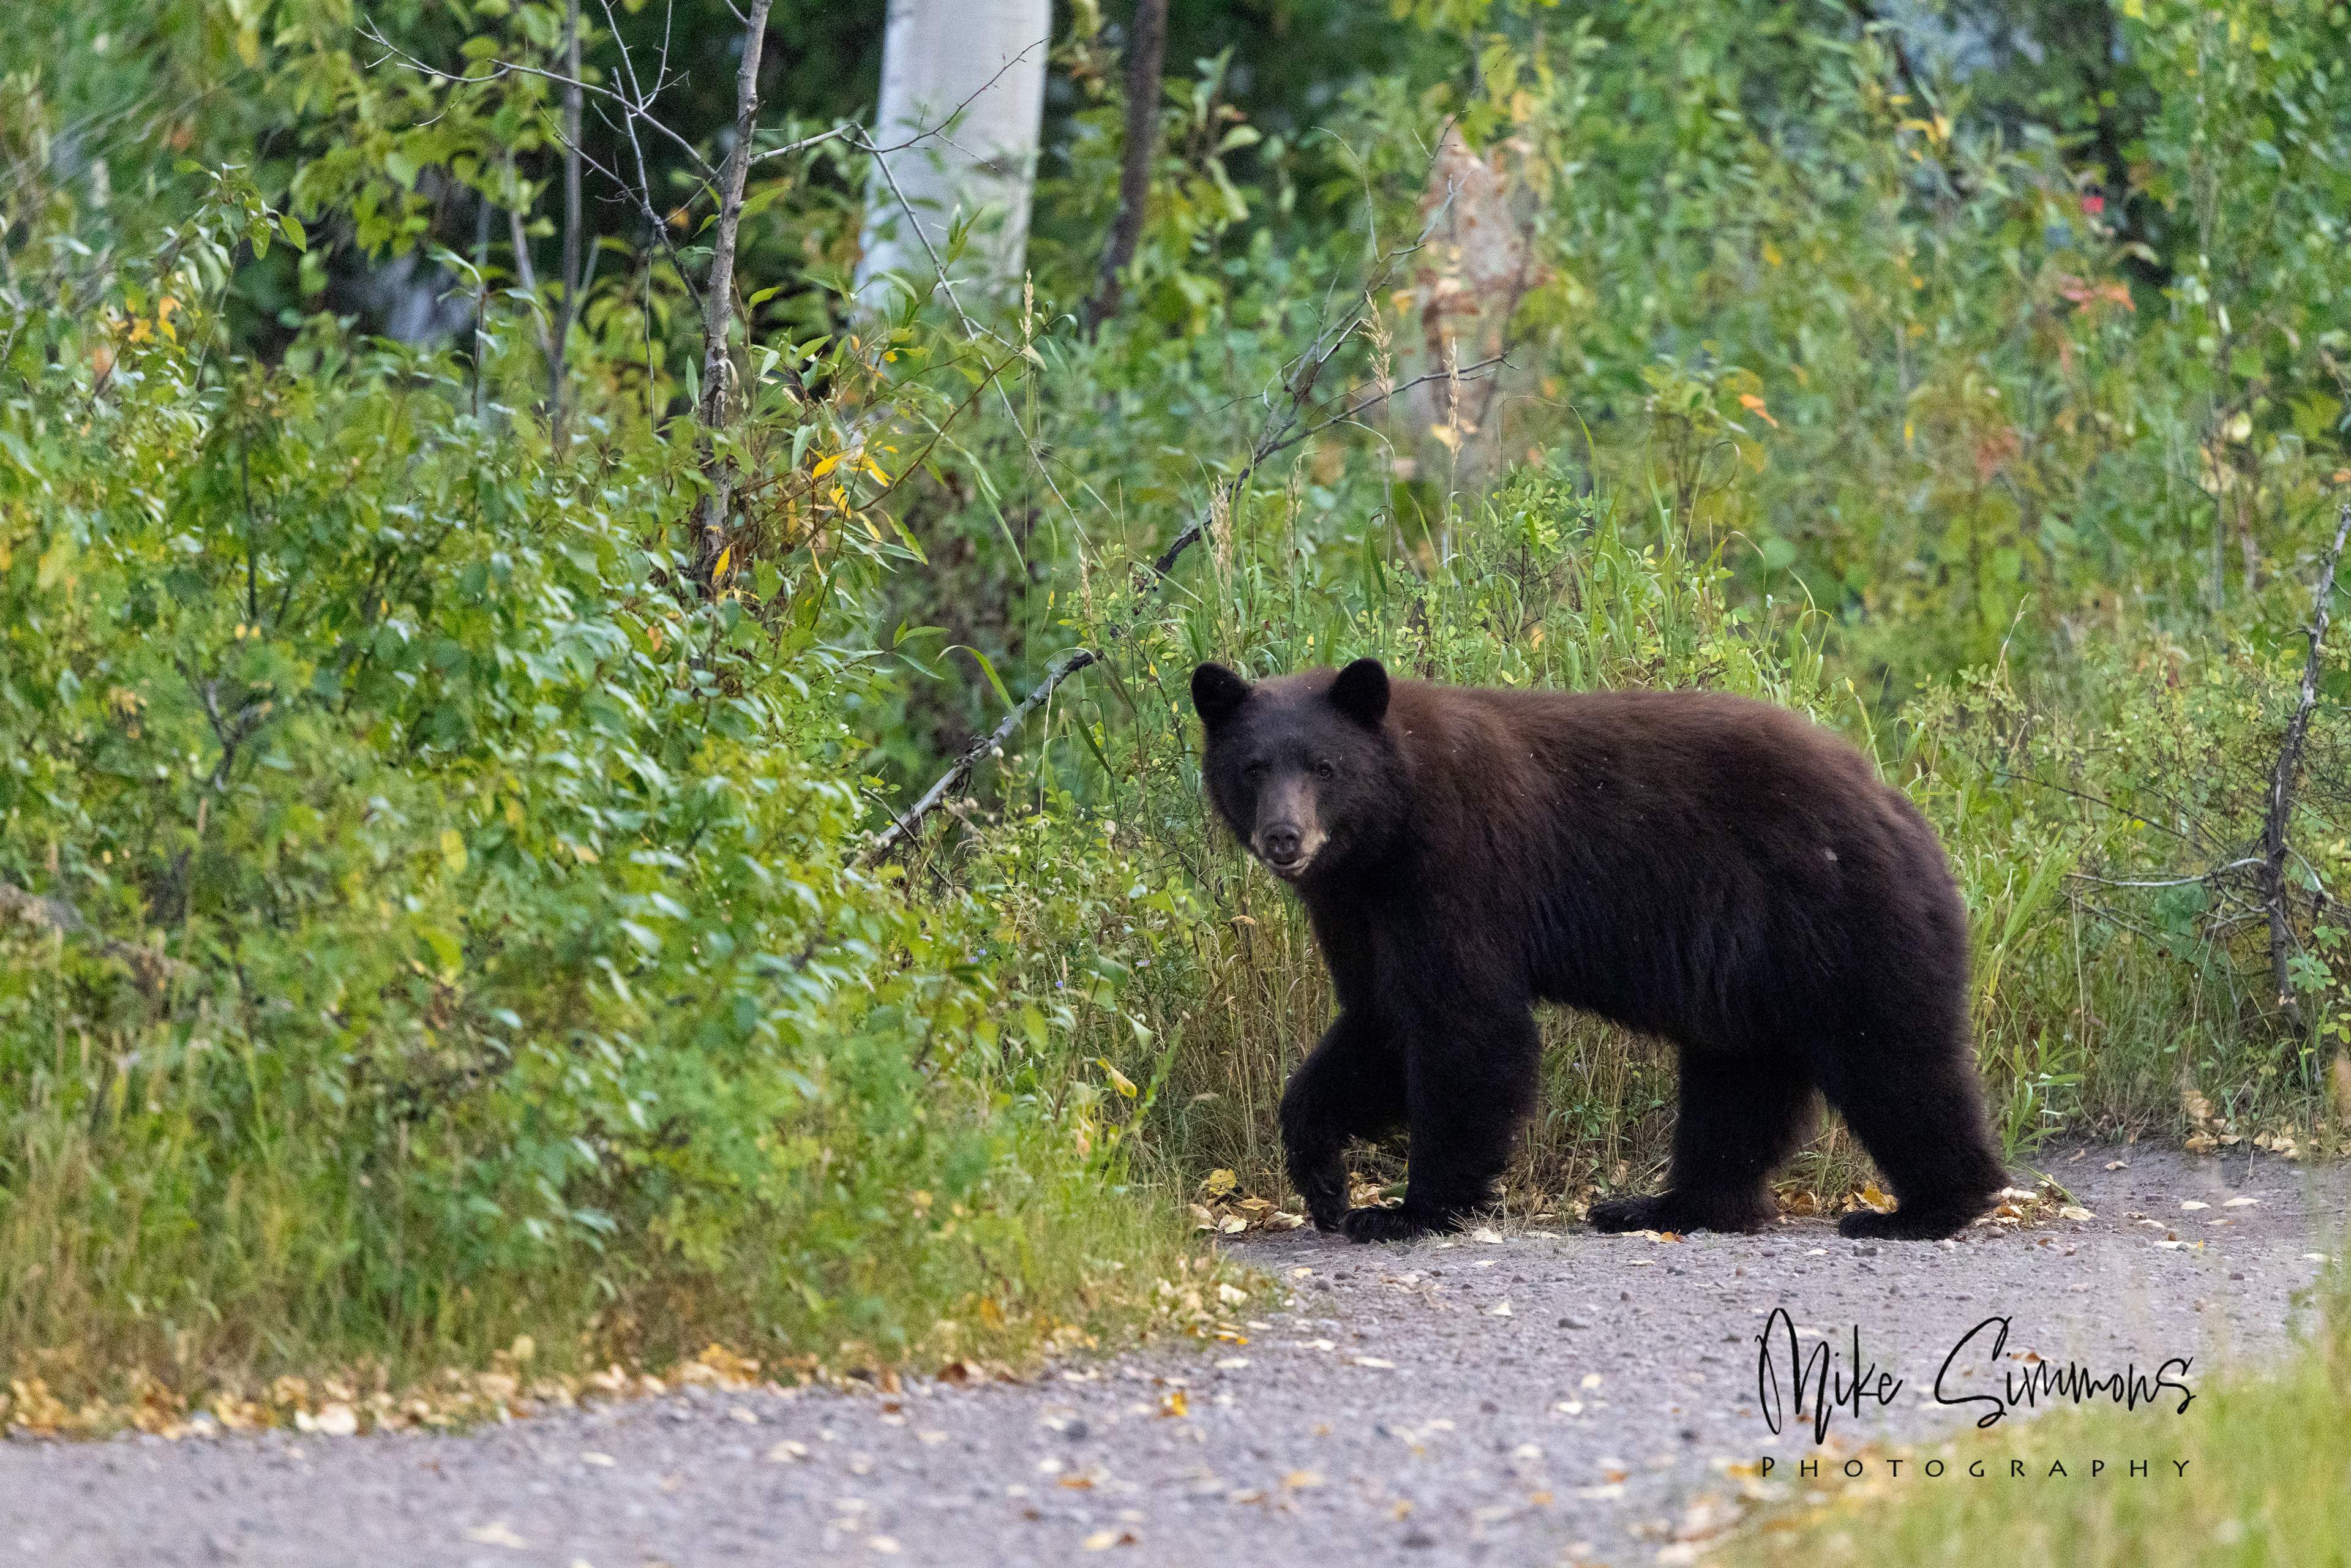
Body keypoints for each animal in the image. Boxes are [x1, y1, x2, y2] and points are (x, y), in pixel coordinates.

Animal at [1190, 656, 2006, 1244]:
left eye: (1324, 767)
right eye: (1254, 767)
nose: (1285, 837)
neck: (1388, 828)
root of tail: (1900, 807)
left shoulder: (1455, 868)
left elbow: (1464, 1026)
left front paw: (1407, 1210)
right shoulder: (1357, 908)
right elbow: (1380, 1020)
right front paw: (1325, 1177)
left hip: (1843, 921)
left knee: (1892, 1056)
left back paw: (1923, 1208)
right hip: (1756, 972)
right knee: (1739, 1083)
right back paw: (1665, 1205)